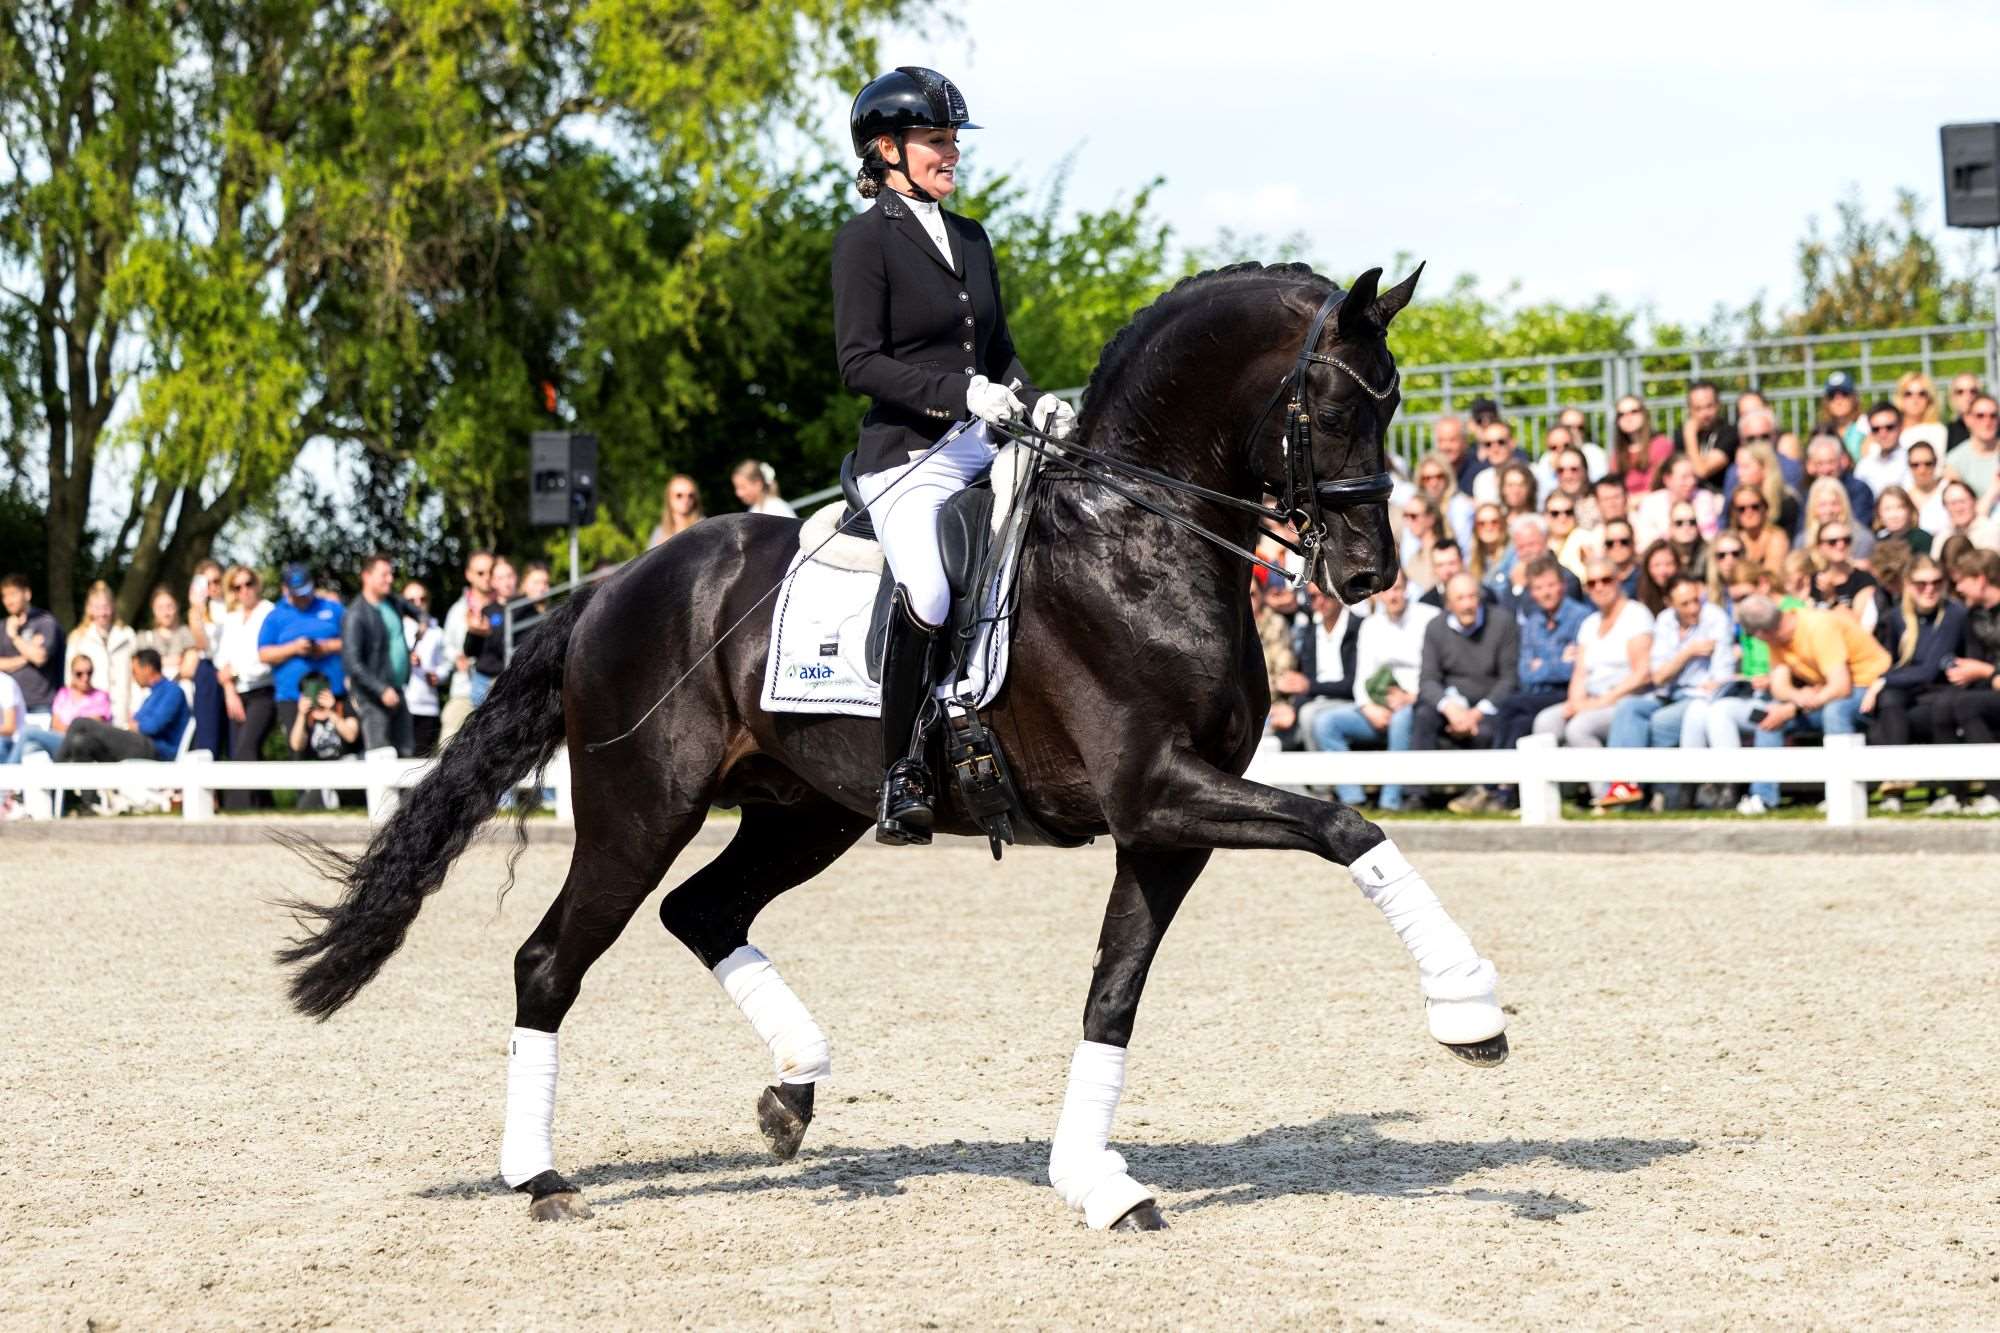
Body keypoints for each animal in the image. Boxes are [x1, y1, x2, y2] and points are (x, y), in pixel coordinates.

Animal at [276, 261, 1508, 1233]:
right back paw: (538, 1177)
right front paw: (1468, 1007)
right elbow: (1346, 823)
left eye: (1398, 403)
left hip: (802, 811)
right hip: (640, 808)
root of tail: (608, 589)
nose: (1368, 574)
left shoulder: (1165, 823)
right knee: (550, 960)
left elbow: (1113, 993)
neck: (1134, 538)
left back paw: (791, 1092)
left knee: (703, 912)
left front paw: (1093, 1180)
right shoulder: (1156, 791)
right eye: (1329, 403)